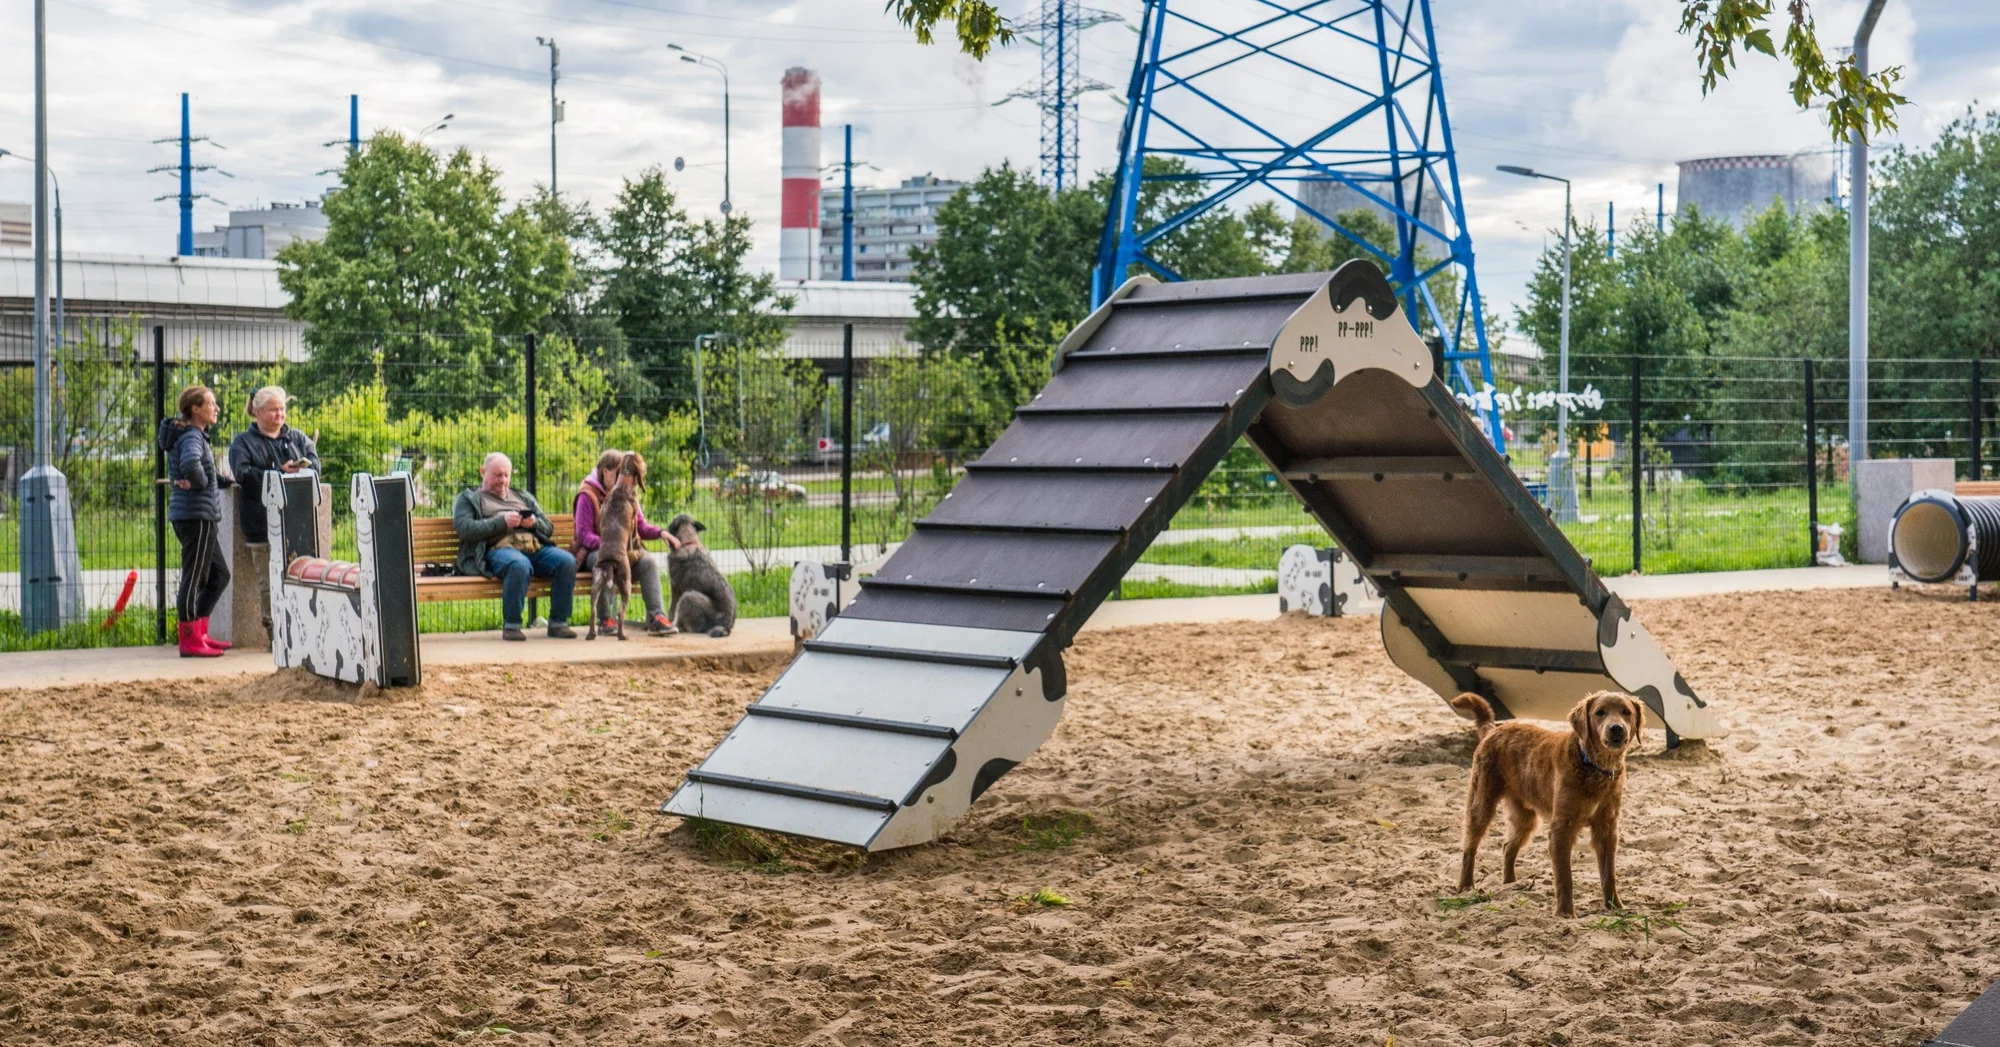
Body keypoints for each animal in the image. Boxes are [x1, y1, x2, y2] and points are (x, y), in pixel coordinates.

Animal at [1456, 691, 1640, 919]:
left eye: (1626, 712)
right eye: (1600, 712)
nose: (1616, 728)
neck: (1592, 765)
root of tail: (1493, 729)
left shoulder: (1607, 827)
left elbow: (1609, 873)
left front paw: (1615, 906)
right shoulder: (1562, 827)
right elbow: (1565, 876)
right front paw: (1566, 913)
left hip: (1525, 816)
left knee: (1508, 846)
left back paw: (1510, 885)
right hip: (1482, 803)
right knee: (1469, 846)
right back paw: (1466, 886)